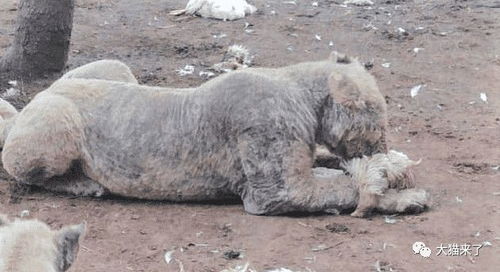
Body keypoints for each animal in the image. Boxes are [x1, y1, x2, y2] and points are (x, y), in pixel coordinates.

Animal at [0, 52, 430, 215]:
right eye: (378, 119)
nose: (382, 147)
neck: (302, 94)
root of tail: (38, 95)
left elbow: (334, 173)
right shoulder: (274, 191)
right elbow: (341, 188)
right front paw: (406, 193)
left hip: (114, 68)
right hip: (57, 127)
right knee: (25, 173)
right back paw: (85, 185)